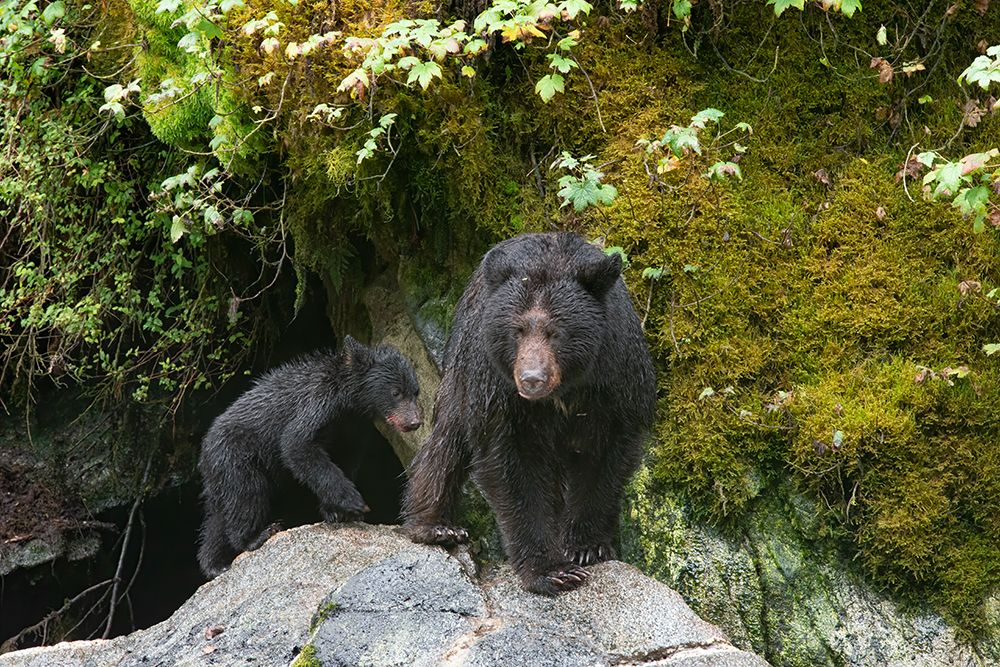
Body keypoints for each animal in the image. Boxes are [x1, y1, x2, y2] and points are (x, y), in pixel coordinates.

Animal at [199, 340, 422, 580]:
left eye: (416, 392)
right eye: (396, 392)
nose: (414, 422)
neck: (348, 401)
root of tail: (205, 450)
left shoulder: (354, 426)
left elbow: (346, 457)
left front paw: (336, 512)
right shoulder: (318, 402)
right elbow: (297, 444)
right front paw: (353, 503)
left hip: (221, 475)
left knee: (219, 516)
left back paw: (215, 564)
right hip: (237, 457)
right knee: (247, 495)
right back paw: (256, 536)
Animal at [406, 234, 656, 596]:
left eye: (556, 331)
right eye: (518, 329)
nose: (531, 378)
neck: (566, 390)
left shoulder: (616, 381)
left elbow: (606, 460)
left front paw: (586, 546)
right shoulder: (499, 391)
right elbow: (513, 468)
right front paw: (552, 570)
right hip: (463, 362)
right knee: (447, 439)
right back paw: (435, 526)